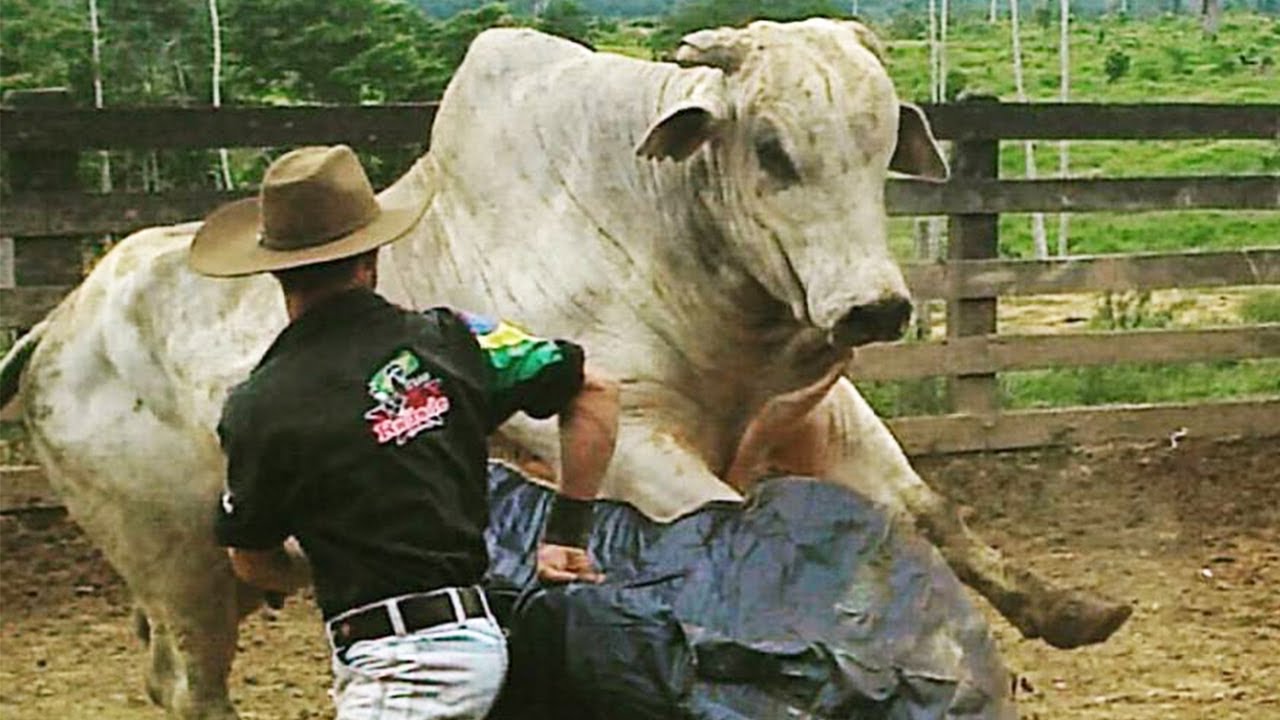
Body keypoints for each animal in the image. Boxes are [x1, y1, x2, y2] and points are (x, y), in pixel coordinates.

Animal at [0, 19, 1126, 712]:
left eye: (881, 141)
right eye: (770, 148)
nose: (875, 305)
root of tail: (56, 328)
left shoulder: (818, 415)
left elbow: (933, 516)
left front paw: (1066, 613)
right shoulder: (639, 445)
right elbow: (728, 535)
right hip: (177, 565)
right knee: (194, 685)